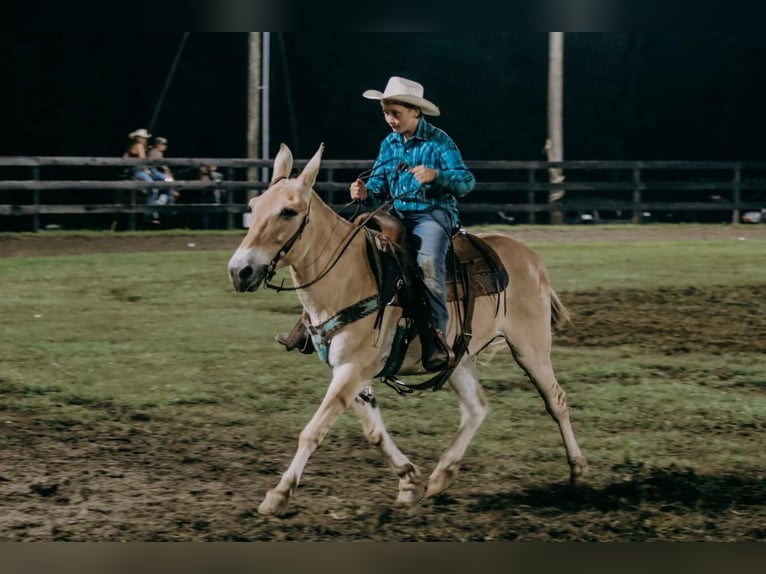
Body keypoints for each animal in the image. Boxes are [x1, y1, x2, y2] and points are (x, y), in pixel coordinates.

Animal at [228, 143, 588, 516]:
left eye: (288, 211)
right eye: (253, 207)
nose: (240, 271)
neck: (347, 276)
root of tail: (531, 259)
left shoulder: (352, 368)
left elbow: (313, 431)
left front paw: (279, 494)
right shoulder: (350, 371)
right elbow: (374, 432)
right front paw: (409, 481)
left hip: (531, 348)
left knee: (556, 400)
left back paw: (577, 474)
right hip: (459, 358)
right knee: (476, 408)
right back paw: (442, 475)